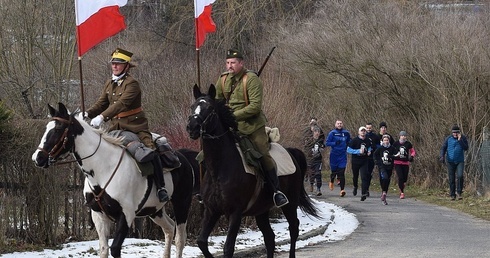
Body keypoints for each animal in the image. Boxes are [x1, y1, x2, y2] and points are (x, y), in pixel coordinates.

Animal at [30, 103, 195, 258]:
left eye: (58, 129)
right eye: (47, 128)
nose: (37, 158)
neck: (103, 169)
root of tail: (182, 157)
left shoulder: (126, 216)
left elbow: (115, 249)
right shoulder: (99, 216)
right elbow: (104, 249)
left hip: (182, 204)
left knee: (180, 238)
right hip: (155, 210)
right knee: (169, 228)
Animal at [186, 85, 320, 258]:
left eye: (210, 108)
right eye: (192, 107)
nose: (192, 128)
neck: (219, 168)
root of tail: (291, 152)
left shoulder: (235, 213)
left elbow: (228, 248)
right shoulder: (211, 211)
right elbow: (201, 242)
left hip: (290, 203)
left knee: (293, 228)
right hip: (261, 210)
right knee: (270, 237)